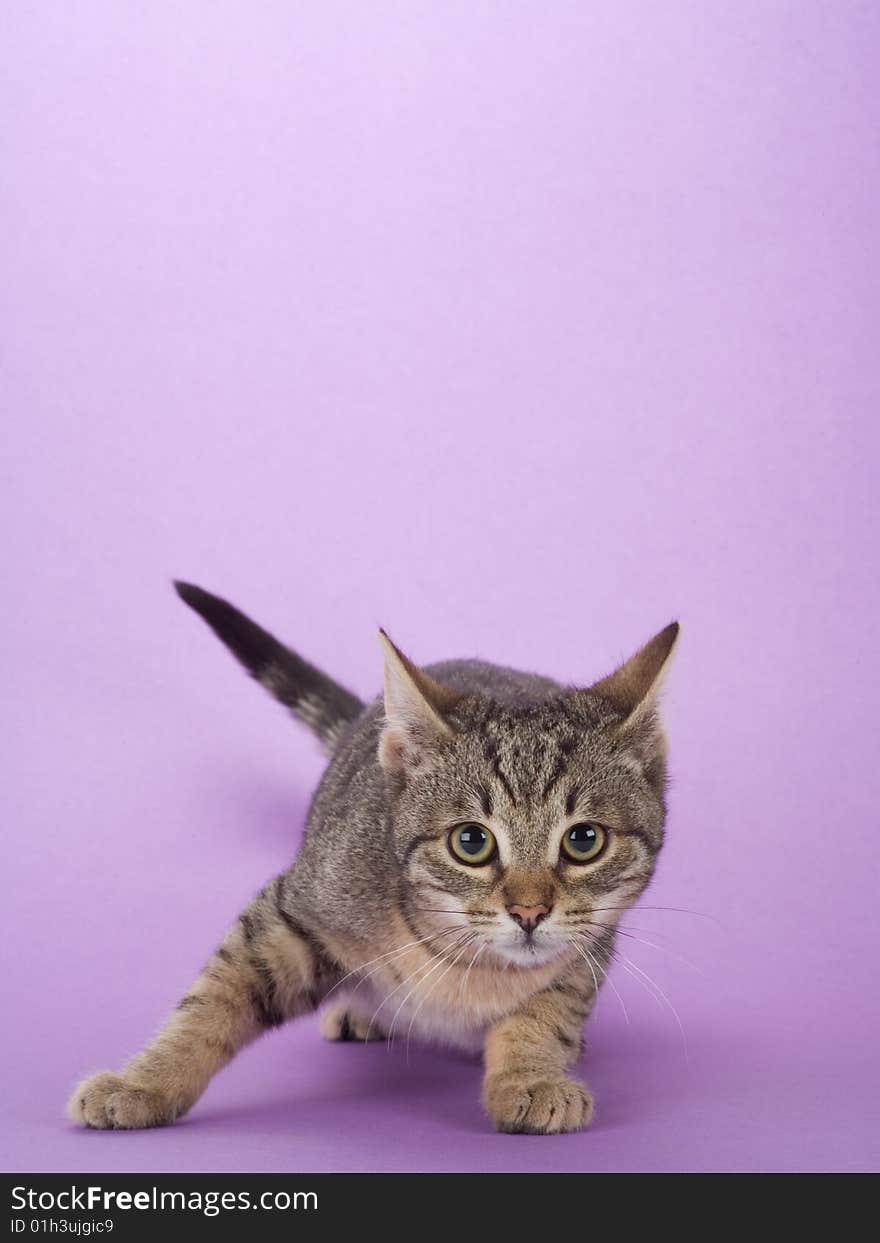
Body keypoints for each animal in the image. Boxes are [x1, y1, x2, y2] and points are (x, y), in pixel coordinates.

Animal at [68, 584, 681, 1138]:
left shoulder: (587, 950)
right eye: (471, 842)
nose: (529, 912)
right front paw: (144, 1083)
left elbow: (549, 1012)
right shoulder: (292, 913)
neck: (467, 966)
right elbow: (210, 1000)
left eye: (583, 840)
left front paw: (530, 1076)